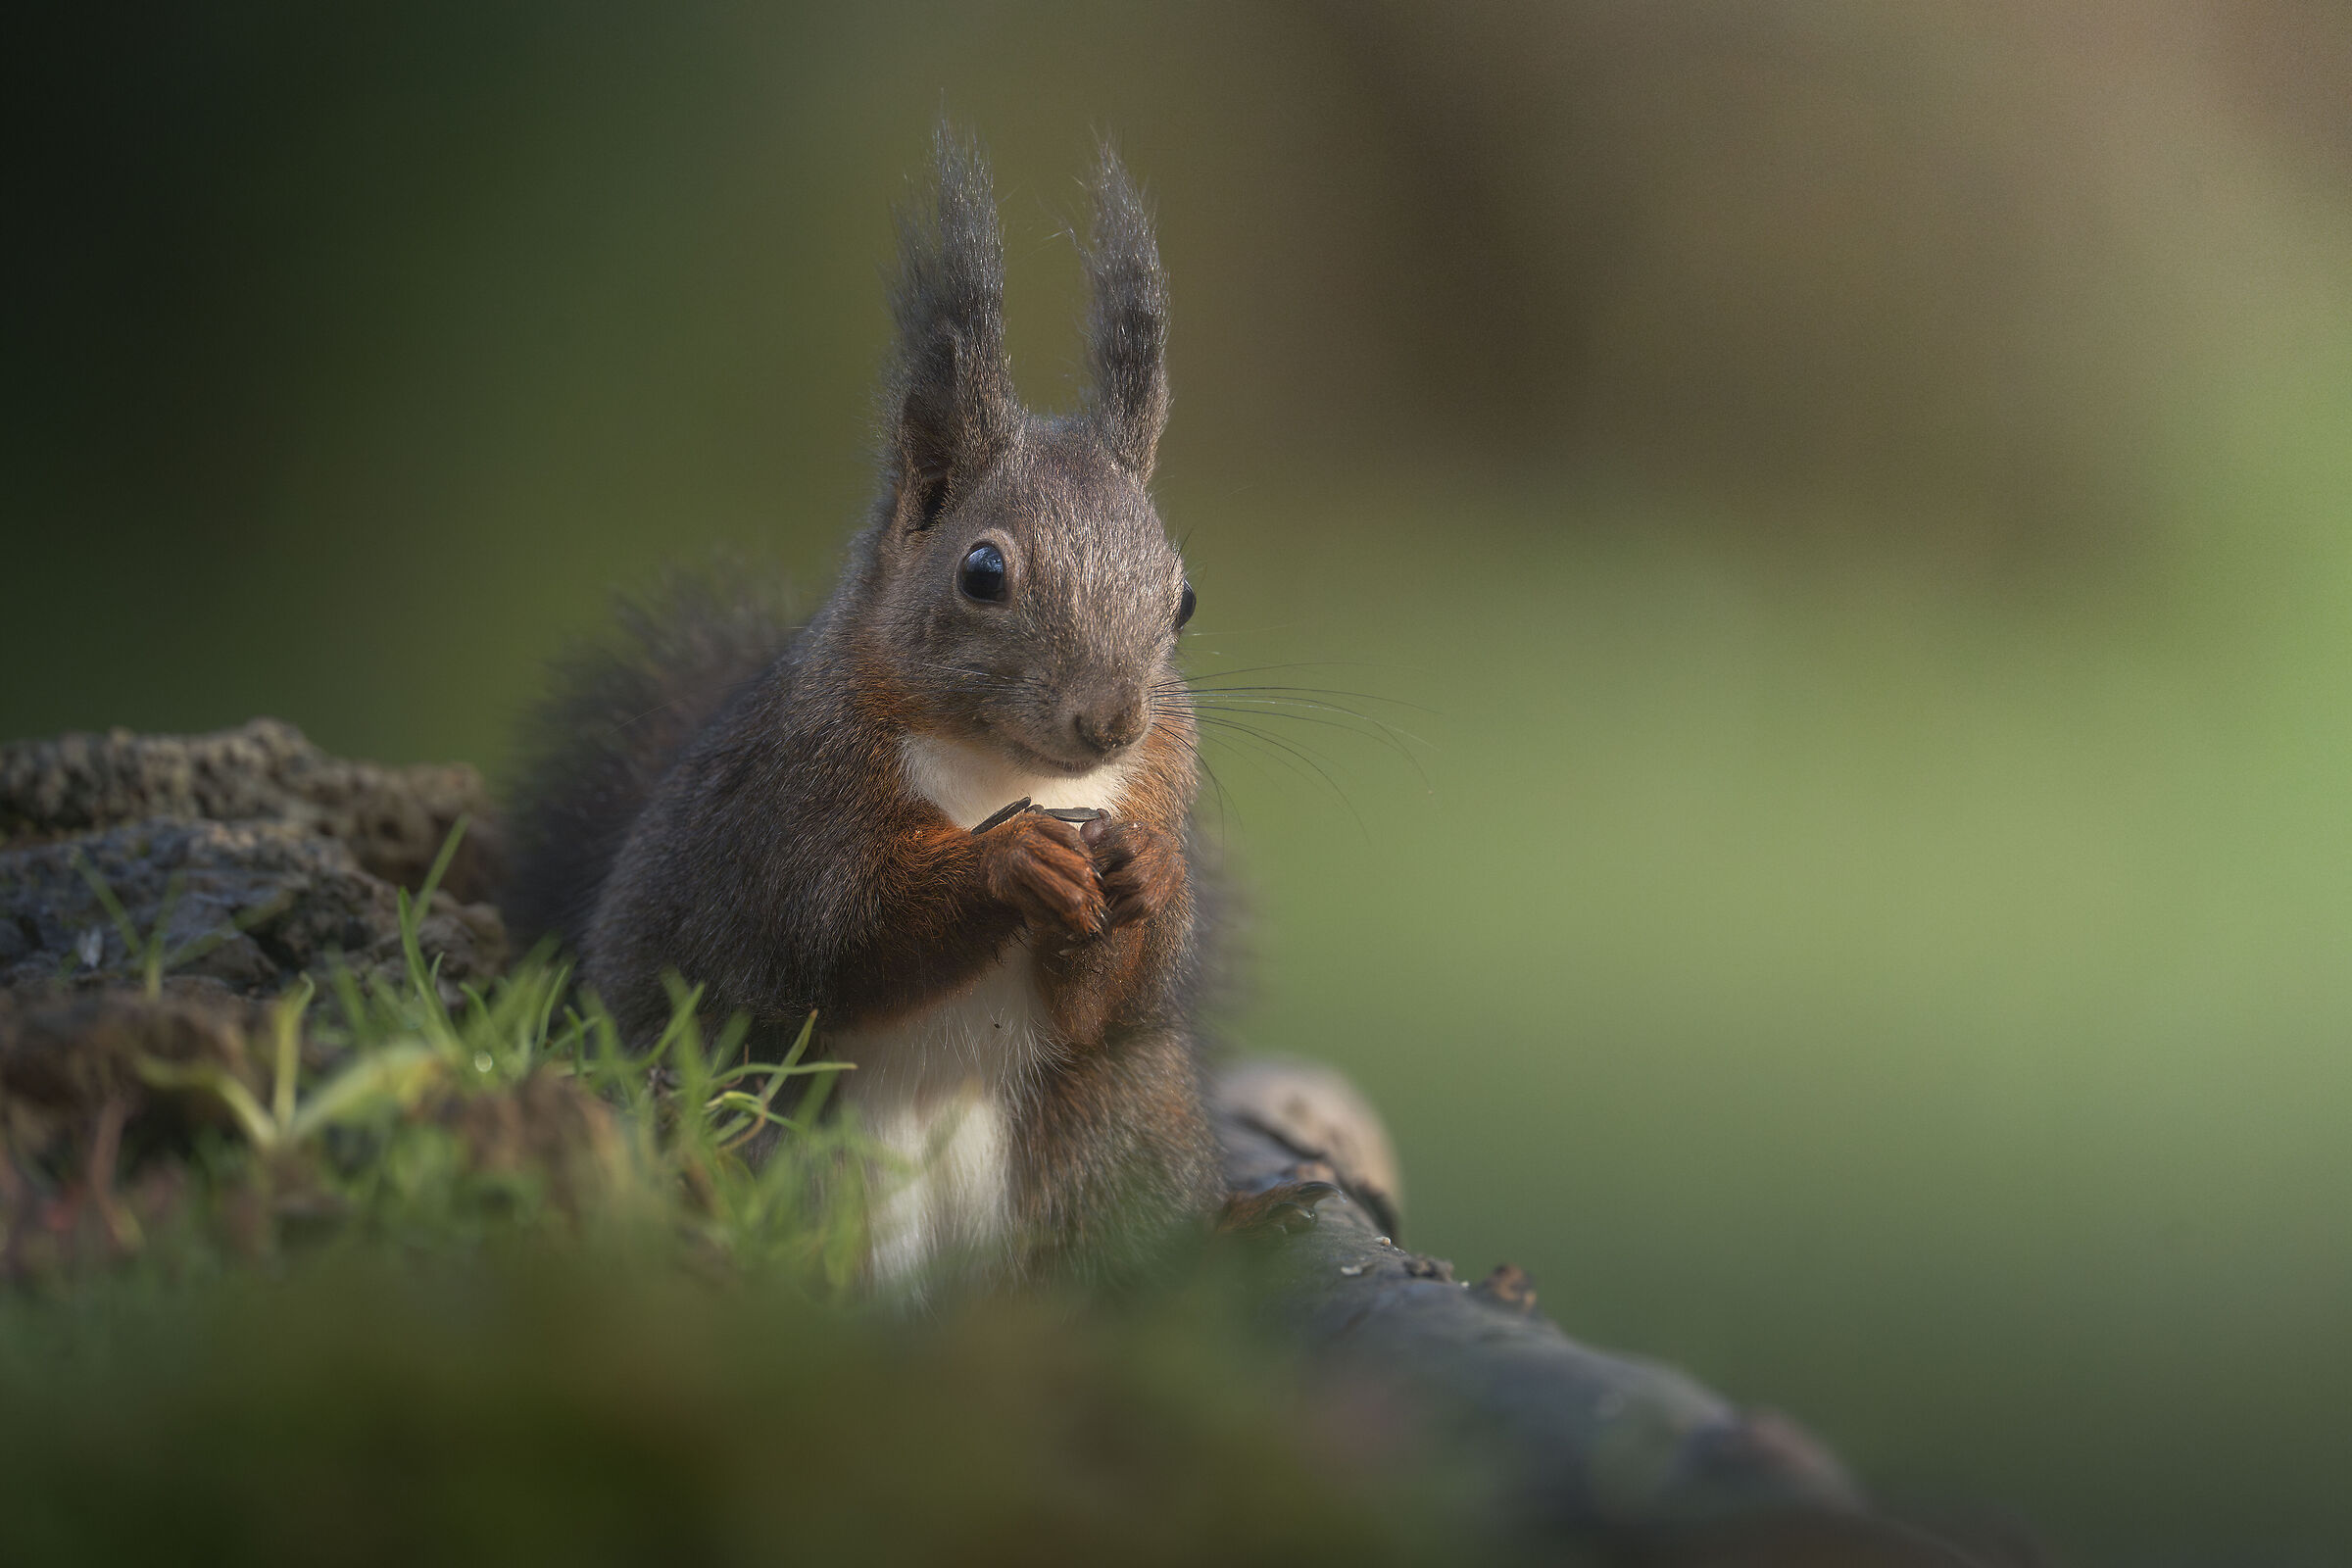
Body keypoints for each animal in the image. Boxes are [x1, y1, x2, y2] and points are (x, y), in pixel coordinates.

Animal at [506, 127, 1220, 1291]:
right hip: (742, 1124)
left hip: (1118, 1128)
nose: (1112, 722)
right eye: (982, 572)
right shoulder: (788, 811)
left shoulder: (1152, 788)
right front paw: (1011, 860)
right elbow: (840, 932)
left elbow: (1107, 1001)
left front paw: (1150, 871)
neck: (1007, 768)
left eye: (1184, 597)